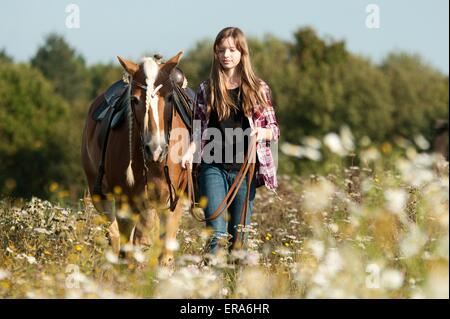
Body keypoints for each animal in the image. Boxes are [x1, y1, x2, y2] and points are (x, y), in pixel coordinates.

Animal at [81, 52, 190, 266]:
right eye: (135, 99)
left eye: (170, 97)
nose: (155, 149)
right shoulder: (126, 201)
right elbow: (129, 246)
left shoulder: (174, 201)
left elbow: (164, 251)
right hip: (100, 194)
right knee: (116, 237)